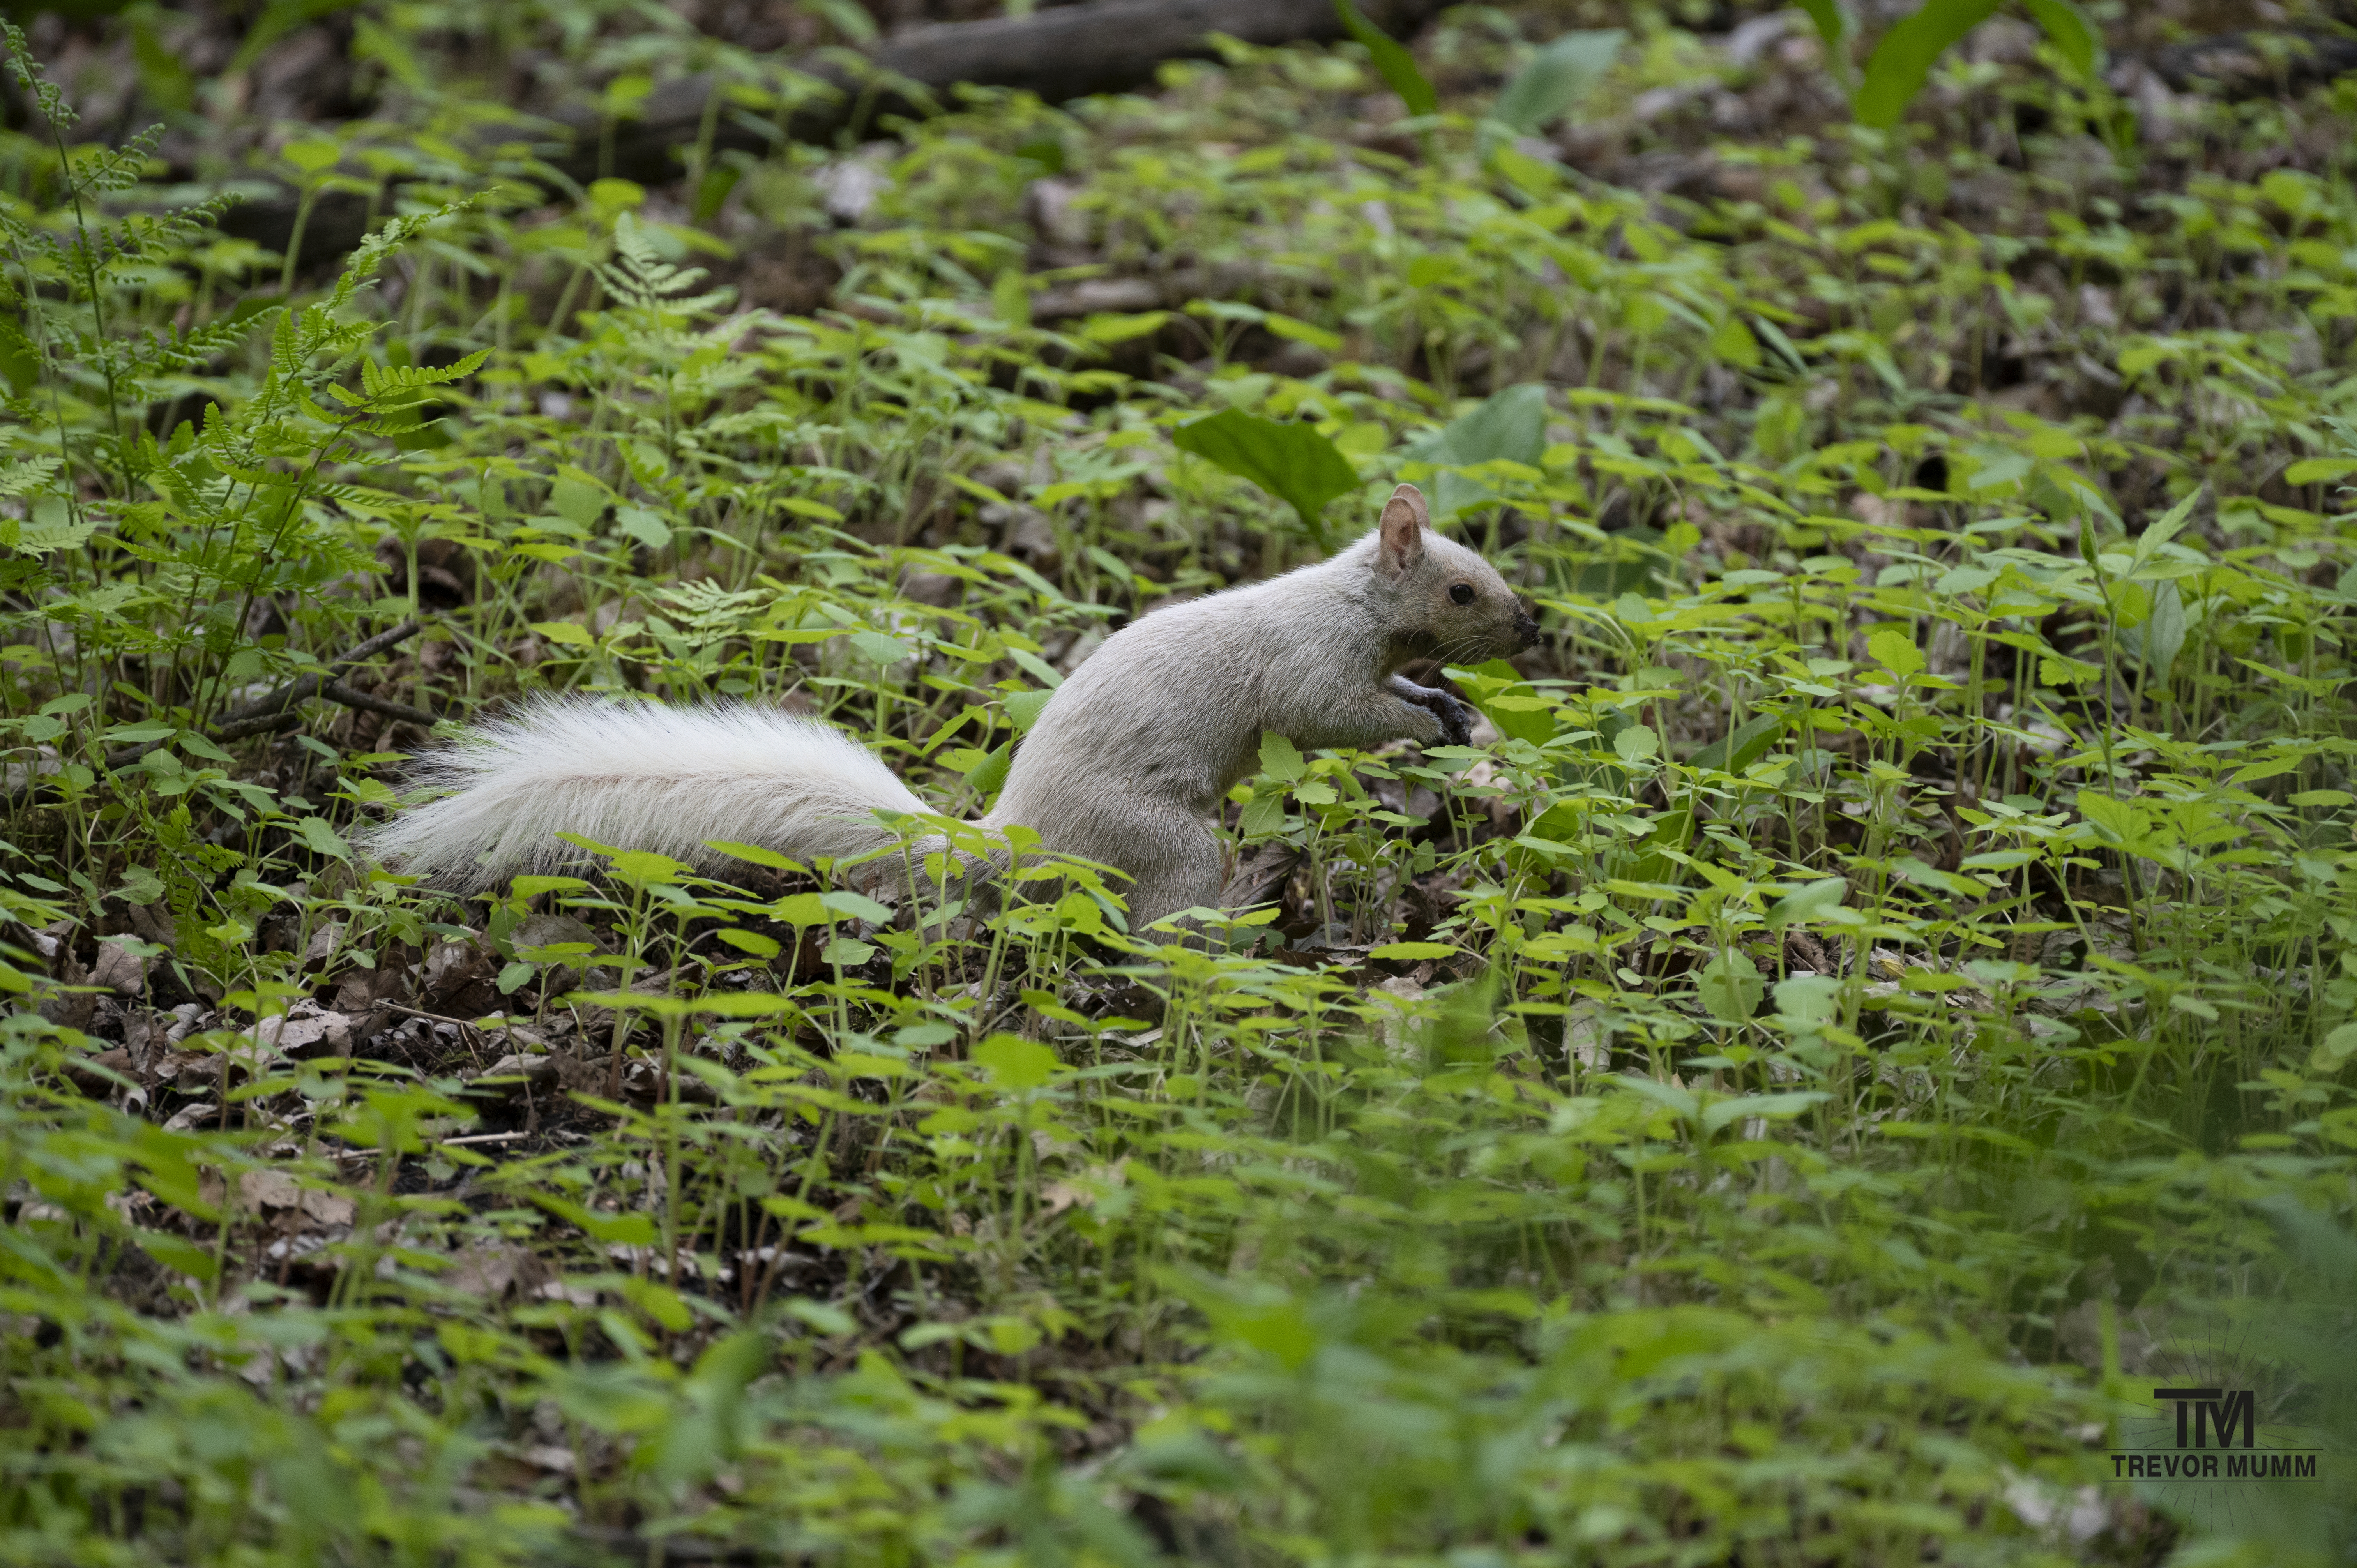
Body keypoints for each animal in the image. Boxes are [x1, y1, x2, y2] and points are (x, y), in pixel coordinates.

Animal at [369, 483, 1540, 933]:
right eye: (1460, 589)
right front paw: (1430, 722)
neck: (1356, 601)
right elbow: (1341, 717)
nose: (1532, 629)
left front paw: (1455, 707)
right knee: (1157, 925)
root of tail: (1014, 838)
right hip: (1161, 841)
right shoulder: (1311, 670)